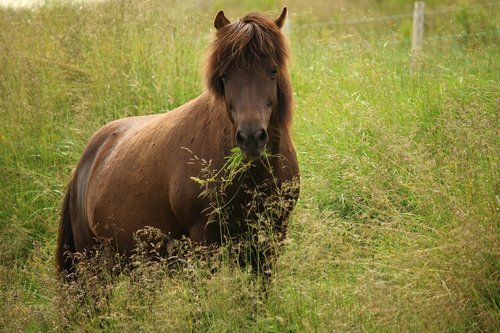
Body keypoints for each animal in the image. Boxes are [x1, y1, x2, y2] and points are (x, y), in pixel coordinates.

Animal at [58, 7, 300, 274]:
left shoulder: (270, 242)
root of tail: (87, 159)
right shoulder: (204, 242)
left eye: (273, 70)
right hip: (91, 261)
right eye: (225, 77)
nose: (251, 138)